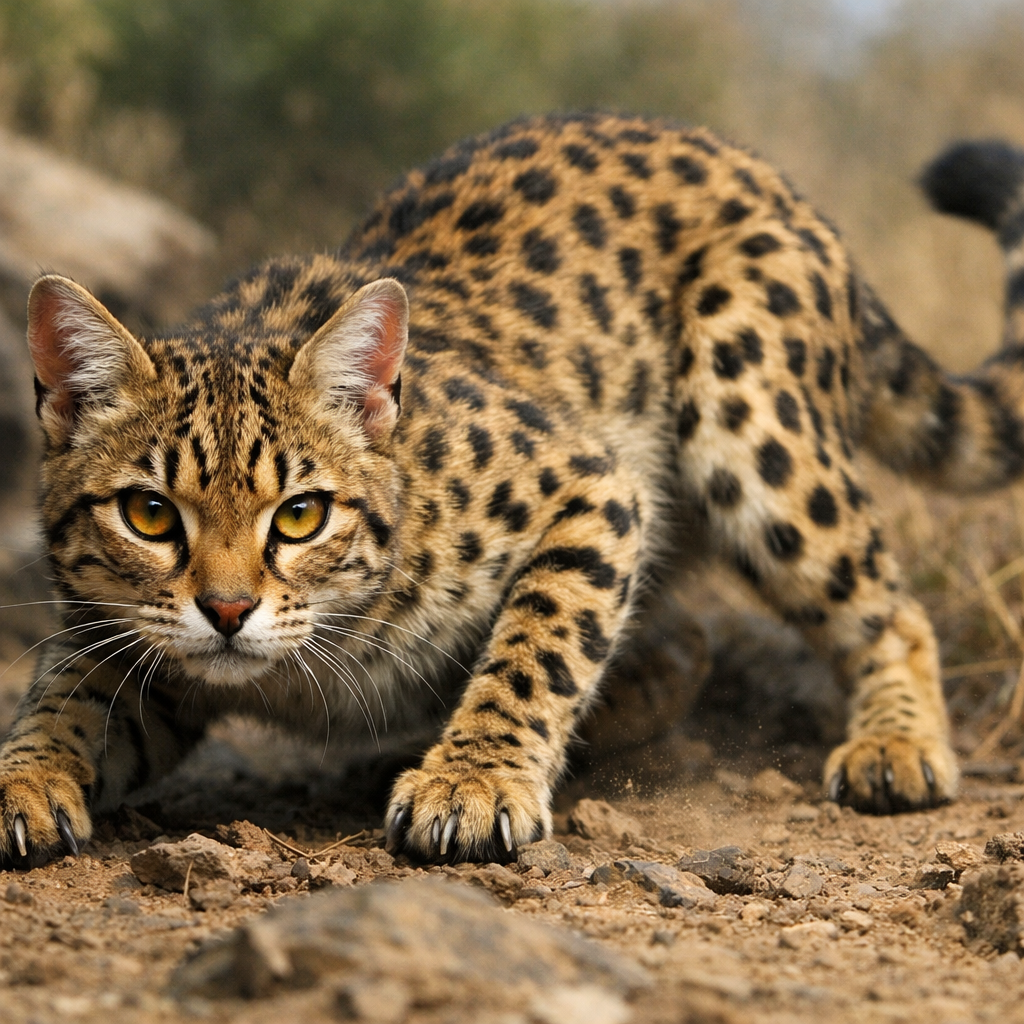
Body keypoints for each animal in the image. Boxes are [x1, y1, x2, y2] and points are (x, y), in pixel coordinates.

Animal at [2, 112, 1022, 868]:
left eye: (300, 515)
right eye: (149, 514)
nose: (225, 612)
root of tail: (758, 168)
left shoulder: (593, 486)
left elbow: (540, 643)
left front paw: (474, 781)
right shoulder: (121, 641)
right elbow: (62, 697)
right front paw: (25, 783)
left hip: (756, 425)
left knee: (888, 608)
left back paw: (896, 747)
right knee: (685, 641)